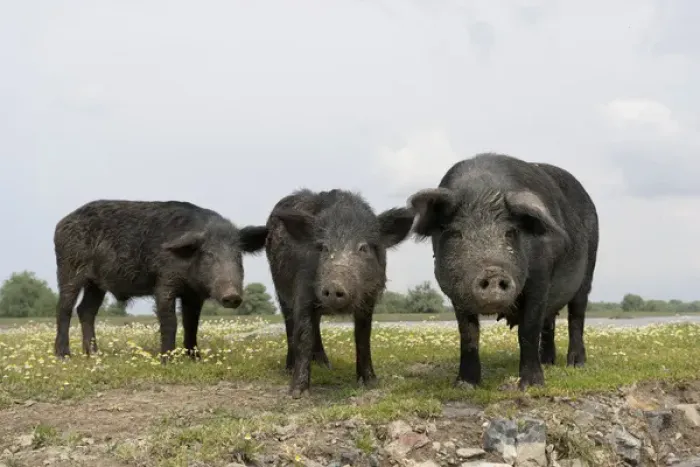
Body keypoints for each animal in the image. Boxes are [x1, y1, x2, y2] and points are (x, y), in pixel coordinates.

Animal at [53, 199, 268, 361]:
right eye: (208, 255)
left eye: (238, 255)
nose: (232, 295)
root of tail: (60, 224)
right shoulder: (164, 282)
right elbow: (170, 320)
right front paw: (167, 360)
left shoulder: (193, 294)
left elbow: (192, 323)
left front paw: (196, 359)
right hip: (69, 268)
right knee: (64, 308)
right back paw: (64, 356)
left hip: (96, 284)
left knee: (86, 310)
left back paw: (94, 355)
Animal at [265, 188, 415, 398]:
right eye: (324, 247)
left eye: (363, 247)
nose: (334, 286)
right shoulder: (303, 292)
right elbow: (303, 336)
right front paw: (298, 394)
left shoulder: (368, 301)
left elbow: (363, 337)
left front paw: (370, 383)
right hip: (280, 291)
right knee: (290, 325)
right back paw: (290, 368)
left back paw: (325, 366)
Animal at [407, 153, 599, 390]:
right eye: (456, 233)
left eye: (510, 232)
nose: (492, 272)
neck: (483, 191)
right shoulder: (455, 293)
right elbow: (468, 334)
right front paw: (464, 385)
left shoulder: (540, 280)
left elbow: (528, 329)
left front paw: (532, 385)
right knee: (550, 322)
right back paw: (548, 363)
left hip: (588, 271)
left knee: (576, 316)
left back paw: (576, 364)